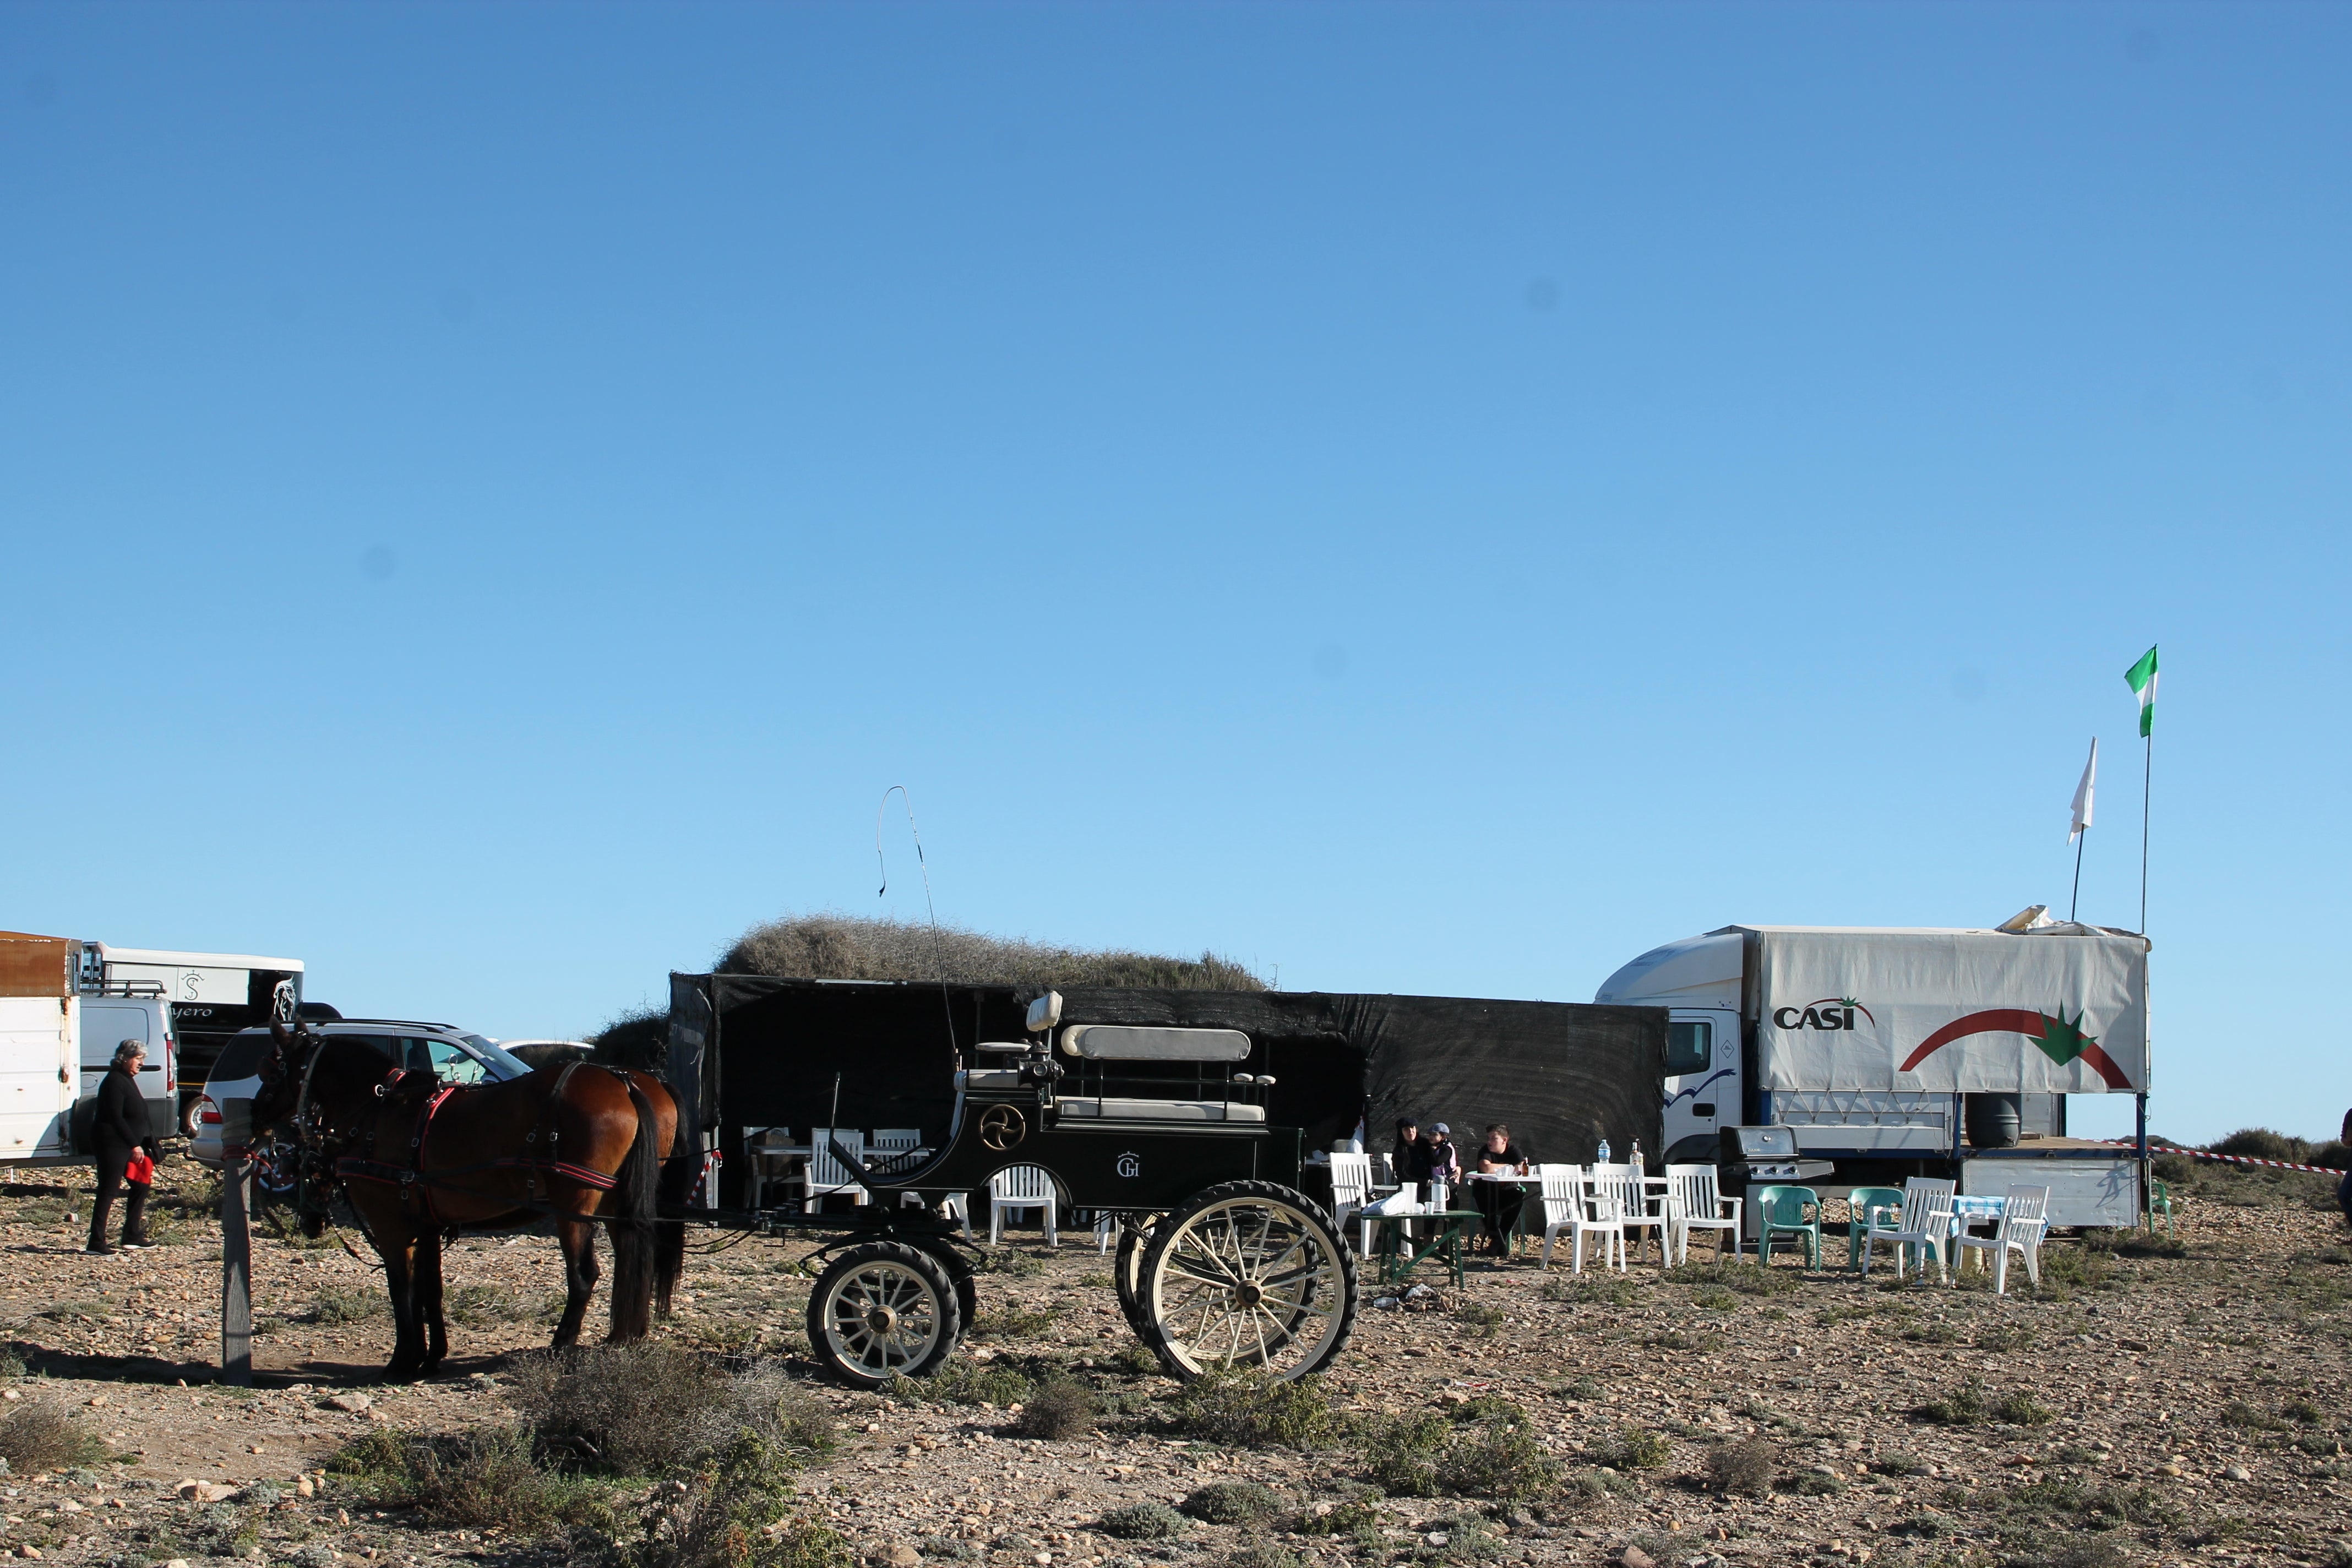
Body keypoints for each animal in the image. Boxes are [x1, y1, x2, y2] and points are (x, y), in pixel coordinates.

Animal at [253, 1025, 687, 1382]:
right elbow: (430, 1290)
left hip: (575, 1204)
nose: (256, 1115)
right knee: (634, 1264)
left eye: (271, 1070)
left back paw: (561, 1346)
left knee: (584, 1276)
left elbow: (401, 1290)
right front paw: (431, 1357)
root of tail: (624, 1081)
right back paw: (623, 1337)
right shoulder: (427, 1225)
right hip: (618, 1203)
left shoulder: (393, 1228)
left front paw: (403, 1361)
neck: (379, 1110)